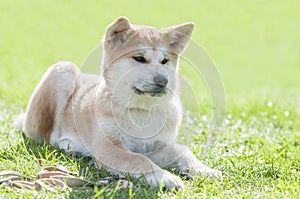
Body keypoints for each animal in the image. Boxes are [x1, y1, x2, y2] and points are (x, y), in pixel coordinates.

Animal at [15, 16, 220, 190]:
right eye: (139, 58)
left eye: (165, 61)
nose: (163, 81)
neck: (141, 112)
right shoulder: (110, 149)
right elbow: (139, 160)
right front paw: (166, 178)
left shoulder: (156, 146)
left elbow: (183, 152)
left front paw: (204, 170)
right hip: (64, 70)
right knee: (48, 137)